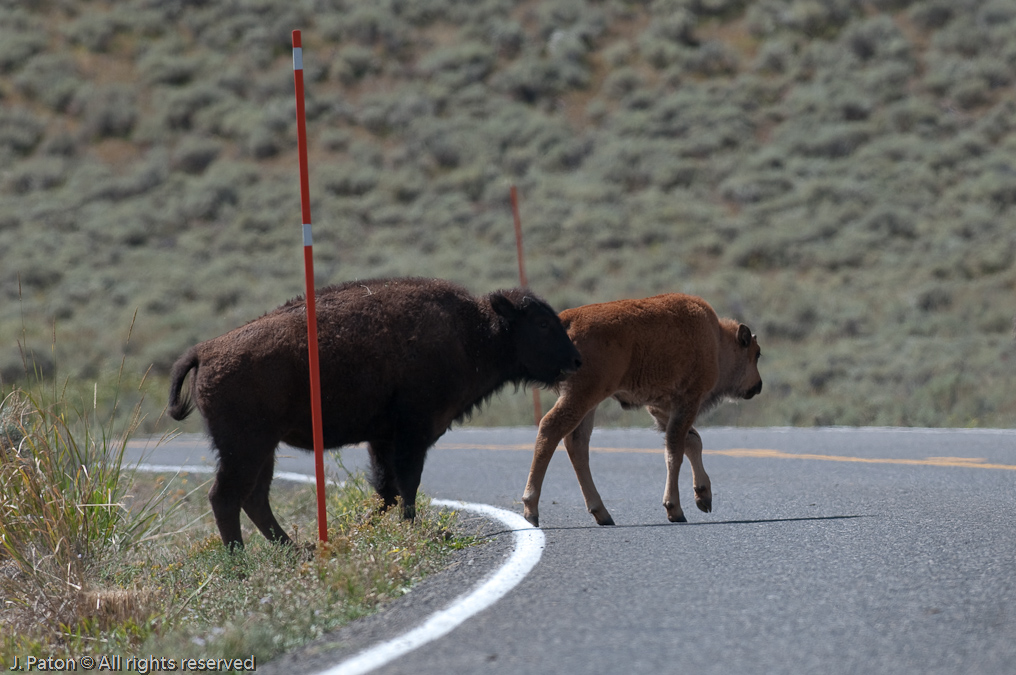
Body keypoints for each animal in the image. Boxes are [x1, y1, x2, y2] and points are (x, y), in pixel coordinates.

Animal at [166, 276, 581, 553]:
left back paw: (296, 551)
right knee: (226, 497)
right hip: (245, 448)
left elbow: (387, 490)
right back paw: (241, 562)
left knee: (253, 498)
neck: (474, 331)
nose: (576, 360)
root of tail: (205, 350)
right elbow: (405, 484)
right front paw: (410, 530)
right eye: (542, 323)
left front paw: (363, 530)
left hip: (262, 450)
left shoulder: (382, 439)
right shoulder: (412, 433)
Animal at [524, 294, 764, 528]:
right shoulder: (687, 401)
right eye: (757, 354)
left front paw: (703, 497)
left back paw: (602, 514)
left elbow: (692, 442)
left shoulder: (661, 408)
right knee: (550, 428)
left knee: (577, 443)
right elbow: (675, 451)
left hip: (588, 402)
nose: (758, 385)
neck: (716, 341)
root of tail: (568, 320)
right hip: (582, 395)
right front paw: (675, 509)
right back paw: (531, 510)